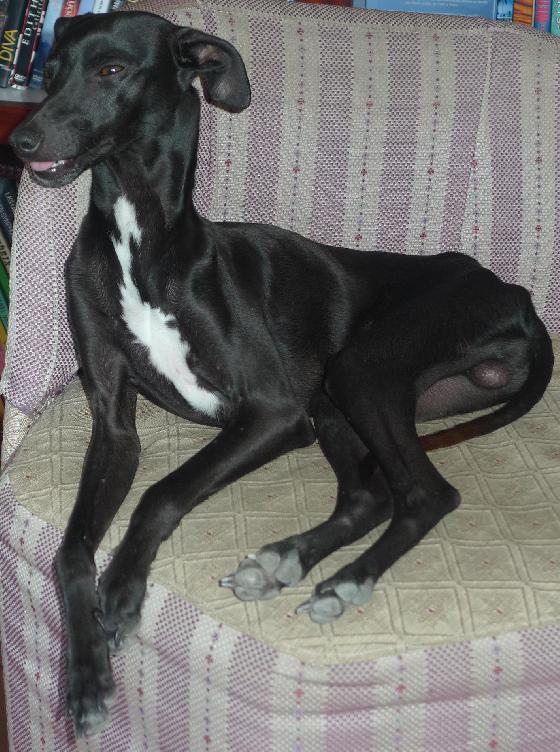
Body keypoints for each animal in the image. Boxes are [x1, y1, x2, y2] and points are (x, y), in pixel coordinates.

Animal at [10, 10, 554, 736]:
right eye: (49, 71)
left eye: (111, 70)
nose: (21, 143)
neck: (142, 240)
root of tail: (518, 295)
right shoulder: (116, 427)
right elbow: (70, 548)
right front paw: (88, 678)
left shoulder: (273, 412)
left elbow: (161, 493)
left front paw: (123, 589)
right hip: (334, 402)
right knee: (369, 497)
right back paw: (284, 560)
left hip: (360, 371)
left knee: (427, 494)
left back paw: (345, 582)